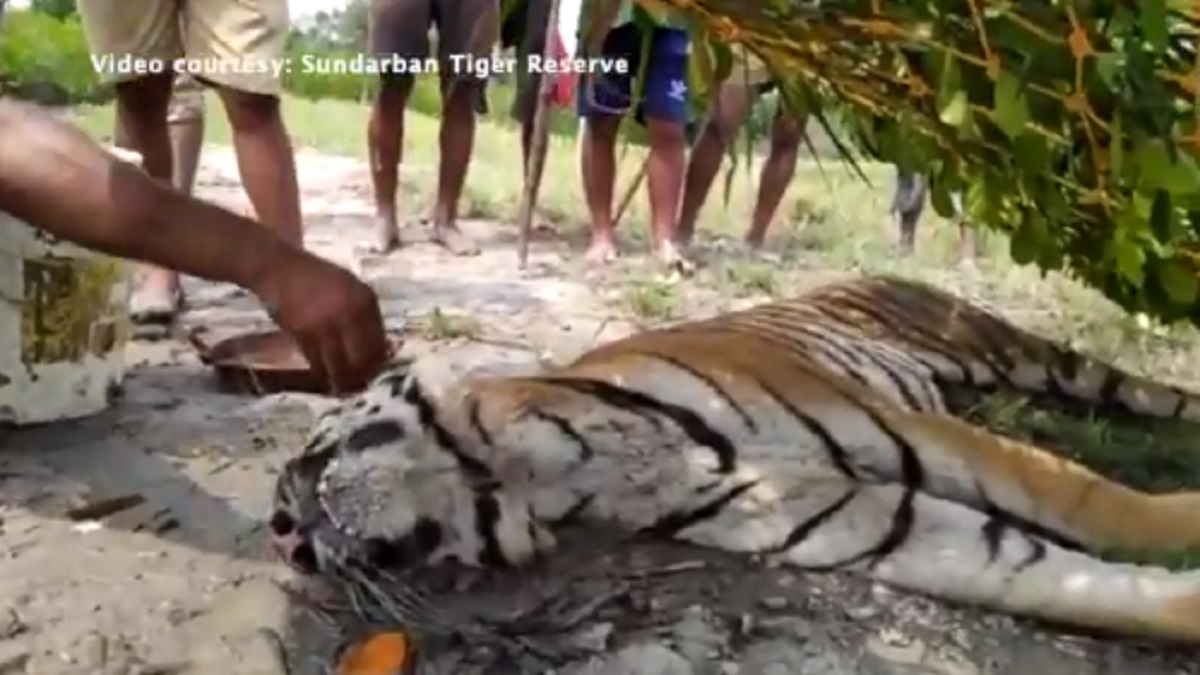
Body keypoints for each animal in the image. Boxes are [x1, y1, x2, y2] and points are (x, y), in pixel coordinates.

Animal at [267, 271, 1200, 638]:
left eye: (308, 453)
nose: (284, 535)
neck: (533, 475)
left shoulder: (906, 432)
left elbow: (1091, 502)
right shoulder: (846, 512)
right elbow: (1055, 573)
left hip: (1021, 350)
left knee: (1149, 395)